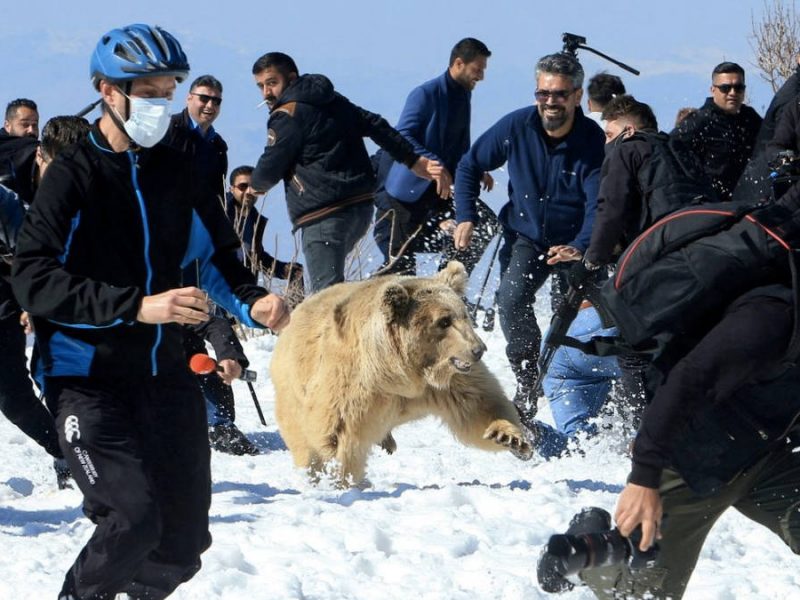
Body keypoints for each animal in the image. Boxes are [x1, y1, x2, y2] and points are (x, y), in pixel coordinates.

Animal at [272, 260, 536, 486]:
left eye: (464, 314)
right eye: (444, 321)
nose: (478, 349)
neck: (403, 375)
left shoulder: (449, 383)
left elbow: (479, 406)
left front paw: (510, 437)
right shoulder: (353, 383)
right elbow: (337, 435)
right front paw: (341, 478)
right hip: (291, 389)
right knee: (303, 440)